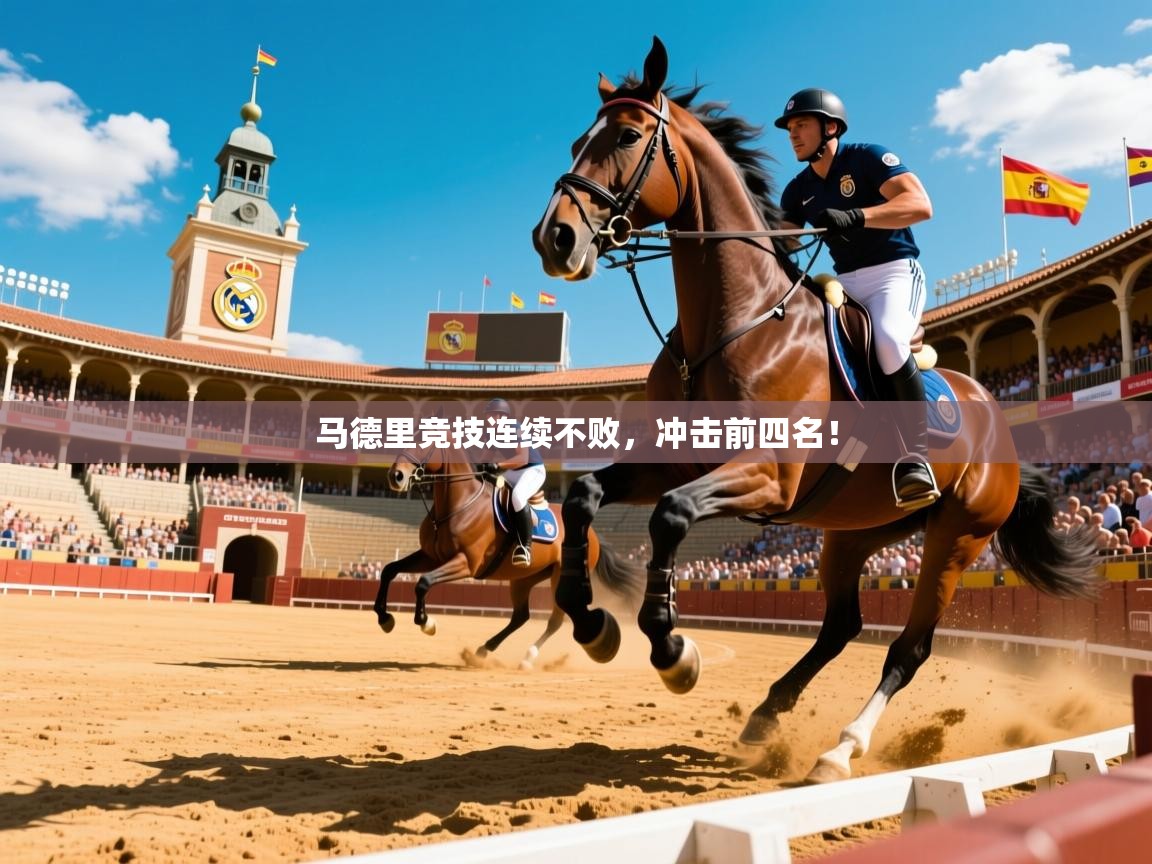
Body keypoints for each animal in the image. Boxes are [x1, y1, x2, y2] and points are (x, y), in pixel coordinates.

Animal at [377, 443, 644, 669]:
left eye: (425, 440)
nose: (395, 476)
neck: (460, 504)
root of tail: (593, 533)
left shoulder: (466, 563)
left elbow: (423, 583)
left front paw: (427, 623)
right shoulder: (431, 557)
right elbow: (389, 570)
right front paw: (384, 617)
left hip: (559, 577)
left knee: (555, 620)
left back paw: (528, 658)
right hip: (523, 578)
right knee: (520, 616)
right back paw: (484, 649)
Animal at [531, 37, 1098, 781]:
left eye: (626, 136)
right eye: (576, 141)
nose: (554, 239)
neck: (733, 322)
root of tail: (996, 420)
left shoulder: (768, 476)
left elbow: (672, 516)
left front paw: (673, 650)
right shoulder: (676, 457)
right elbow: (585, 495)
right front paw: (593, 624)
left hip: (958, 537)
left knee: (908, 648)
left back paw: (841, 748)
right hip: (854, 532)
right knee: (841, 627)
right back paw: (768, 714)